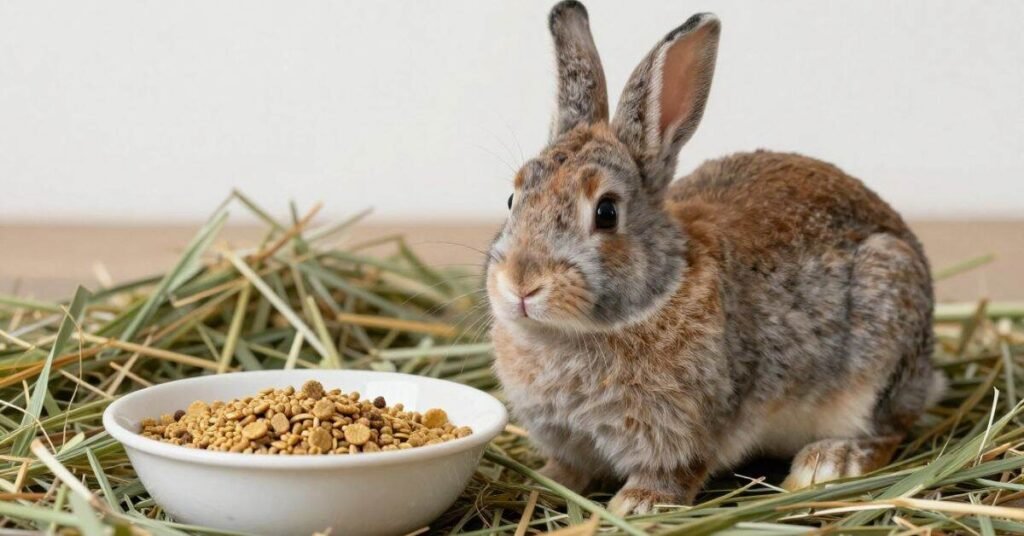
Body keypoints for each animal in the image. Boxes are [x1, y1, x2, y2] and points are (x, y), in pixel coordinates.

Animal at [485, 0, 943, 515]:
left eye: (606, 212)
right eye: (512, 199)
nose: (521, 284)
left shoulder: (686, 431)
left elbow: (675, 472)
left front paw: (636, 505)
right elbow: (570, 468)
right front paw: (546, 481)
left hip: (882, 342)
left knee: (888, 430)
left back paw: (828, 462)